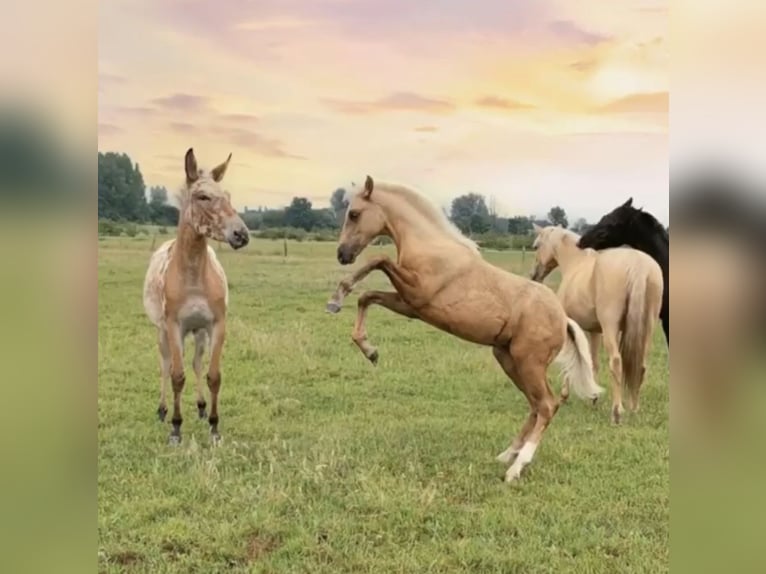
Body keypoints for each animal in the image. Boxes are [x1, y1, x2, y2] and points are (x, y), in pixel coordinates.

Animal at [142, 147, 250, 446]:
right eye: (202, 196)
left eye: (228, 196)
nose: (241, 234)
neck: (192, 278)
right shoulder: (174, 326)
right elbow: (177, 376)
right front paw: (176, 429)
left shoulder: (216, 325)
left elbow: (213, 376)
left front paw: (214, 427)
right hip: (162, 332)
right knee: (165, 365)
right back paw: (162, 410)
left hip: (199, 332)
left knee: (197, 363)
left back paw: (201, 408)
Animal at [328, 178, 604, 484]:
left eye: (354, 214)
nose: (342, 254)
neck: (433, 247)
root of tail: (562, 318)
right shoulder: (410, 305)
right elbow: (367, 297)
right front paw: (367, 346)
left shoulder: (416, 292)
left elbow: (379, 260)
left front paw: (341, 295)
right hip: (508, 359)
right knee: (534, 405)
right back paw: (507, 454)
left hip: (528, 362)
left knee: (546, 405)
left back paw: (516, 468)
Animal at [532, 227, 664, 426]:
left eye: (536, 246)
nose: (535, 276)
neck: (576, 263)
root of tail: (638, 265)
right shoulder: (594, 331)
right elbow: (593, 362)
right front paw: (594, 397)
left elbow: (573, 358)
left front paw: (565, 396)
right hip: (647, 328)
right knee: (640, 365)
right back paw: (634, 408)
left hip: (611, 327)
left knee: (616, 362)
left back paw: (617, 412)